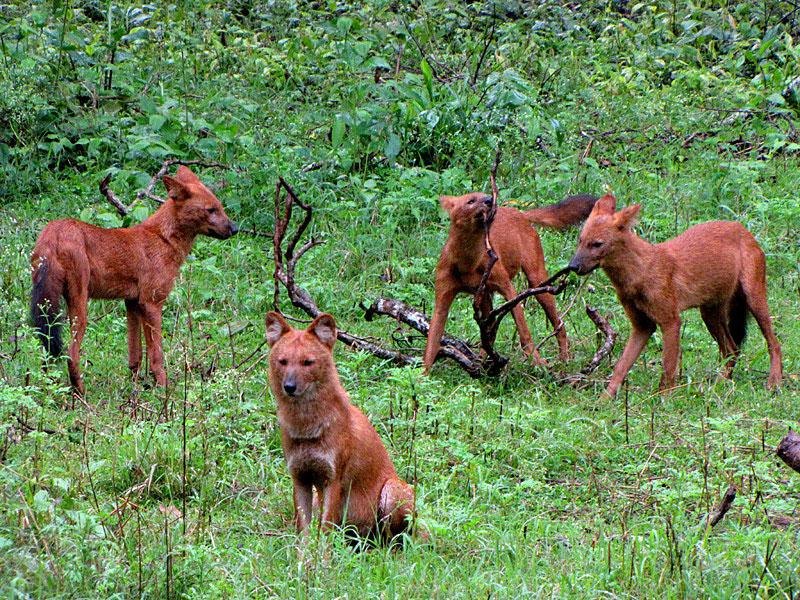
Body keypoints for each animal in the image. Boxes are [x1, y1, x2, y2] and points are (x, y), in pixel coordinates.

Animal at [31, 166, 238, 396]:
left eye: (220, 207)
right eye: (211, 210)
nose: (235, 228)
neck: (163, 239)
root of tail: (54, 229)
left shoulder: (131, 303)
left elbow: (135, 355)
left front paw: (135, 388)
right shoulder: (152, 303)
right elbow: (156, 355)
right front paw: (163, 390)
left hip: (47, 310)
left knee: (47, 354)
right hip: (79, 308)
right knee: (70, 354)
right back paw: (80, 394)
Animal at [268, 312, 418, 540]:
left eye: (308, 362)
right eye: (283, 362)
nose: (289, 387)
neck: (307, 427)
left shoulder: (333, 480)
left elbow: (325, 531)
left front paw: (323, 552)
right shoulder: (300, 478)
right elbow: (304, 531)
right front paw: (303, 552)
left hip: (391, 493)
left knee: (394, 538)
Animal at [422, 192, 596, 372]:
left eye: (484, 196)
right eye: (471, 201)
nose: (490, 199)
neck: (467, 264)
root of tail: (519, 212)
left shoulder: (507, 288)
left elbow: (524, 332)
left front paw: (537, 362)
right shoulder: (442, 298)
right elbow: (431, 344)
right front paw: (422, 375)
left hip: (537, 281)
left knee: (559, 324)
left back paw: (564, 359)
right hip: (485, 297)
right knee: (489, 331)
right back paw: (484, 360)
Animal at [568, 195, 780, 396]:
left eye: (597, 244)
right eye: (580, 240)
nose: (572, 266)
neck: (640, 273)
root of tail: (741, 228)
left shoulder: (670, 321)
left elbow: (668, 368)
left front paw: (664, 400)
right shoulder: (642, 326)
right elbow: (621, 366)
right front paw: (605, 399)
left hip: (754, 299)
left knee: (774, 343)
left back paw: (774, 383)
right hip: (709, 314)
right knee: (732, 350)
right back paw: (718, 386)